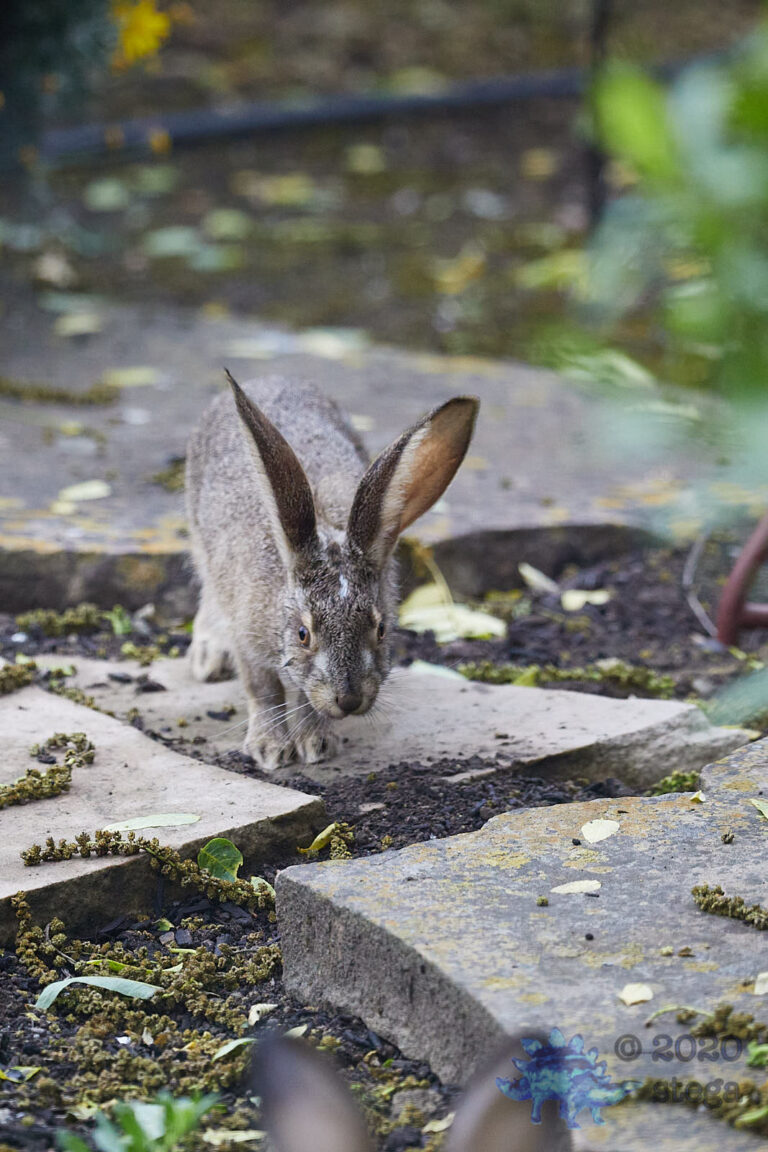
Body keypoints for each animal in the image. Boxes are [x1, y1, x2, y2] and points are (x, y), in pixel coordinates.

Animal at [185, 372, 478, 770]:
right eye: (302, 634)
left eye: (381, 630)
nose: (350, 700)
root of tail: (271, 378)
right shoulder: (248, 639)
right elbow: (264, 691)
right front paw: (270, 749)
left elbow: (308, 700)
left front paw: (317, 743)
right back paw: (207, 658)